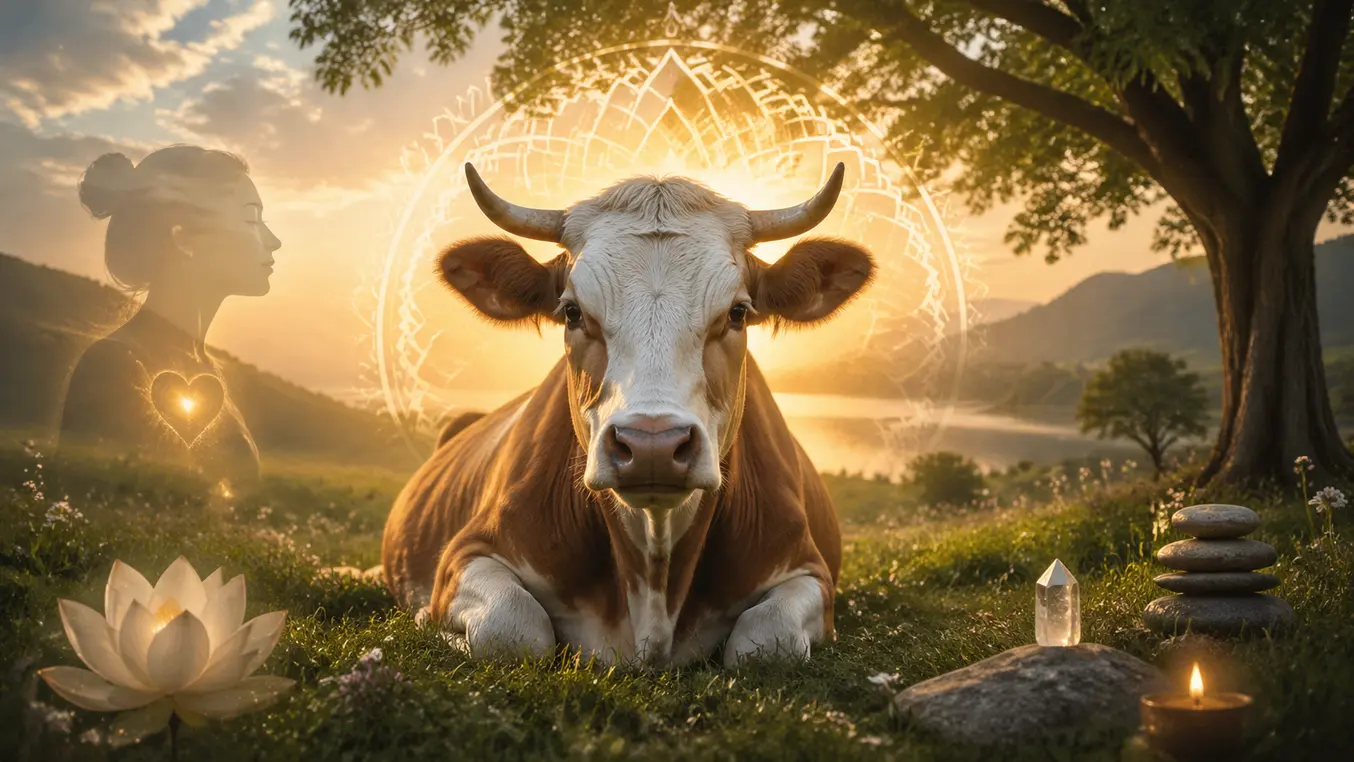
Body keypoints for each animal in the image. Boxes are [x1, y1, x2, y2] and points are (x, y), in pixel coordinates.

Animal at [382, 161, 876, 668]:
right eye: (572, 312)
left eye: (738, 312)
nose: (652, 445)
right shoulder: (466, 553)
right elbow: (511, 628)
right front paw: (428, 621)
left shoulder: (808, 568)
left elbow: (767, 643)